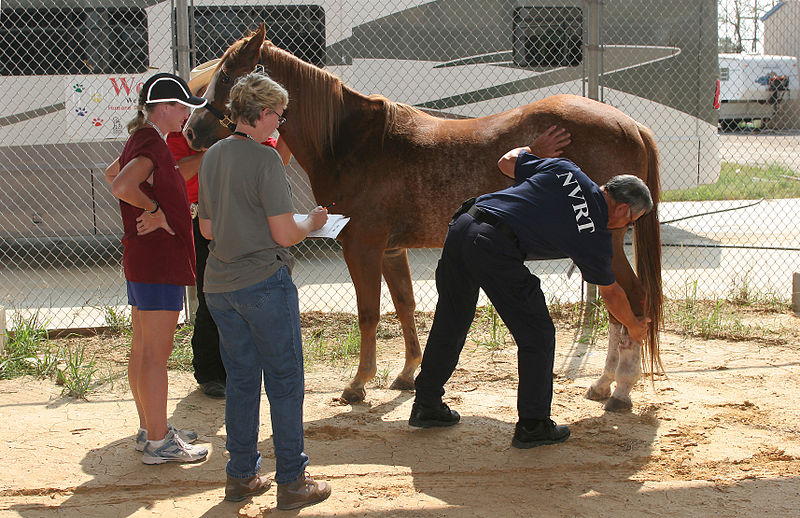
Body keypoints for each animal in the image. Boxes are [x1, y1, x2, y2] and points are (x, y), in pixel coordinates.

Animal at [186, 25, 664, 414]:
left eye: (227, 76)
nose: (191, 131)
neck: (353, 144)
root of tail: (631, 124)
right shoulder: (391, 250)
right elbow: (405, 306)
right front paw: (407, 375)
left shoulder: (361, 246)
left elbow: (368, 313)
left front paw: (359, 384)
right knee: (622, 305)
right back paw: (603, 385)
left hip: (602, 243)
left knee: (634, 299)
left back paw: (621, 390)